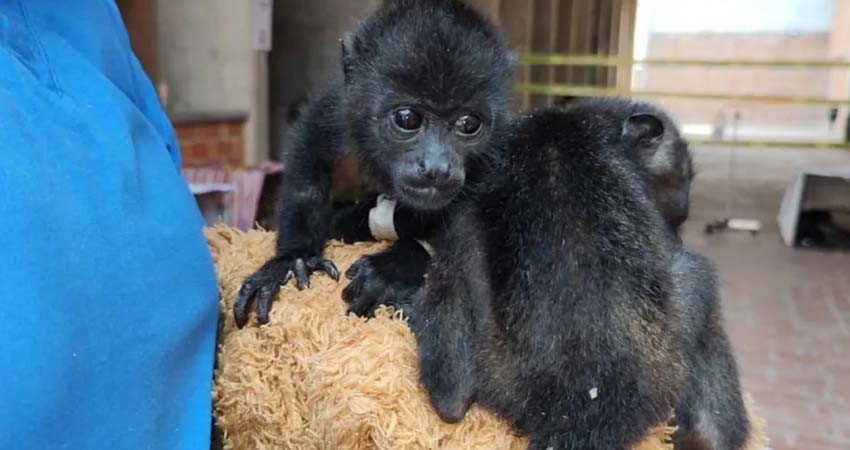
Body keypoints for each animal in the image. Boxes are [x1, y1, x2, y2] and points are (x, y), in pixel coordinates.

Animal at [233, 0, 516, 328]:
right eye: (408, 118)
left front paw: (393, 268)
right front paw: (292, 258)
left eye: (468, 124)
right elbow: (308, 157)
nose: (437, 167)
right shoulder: (337, 110)